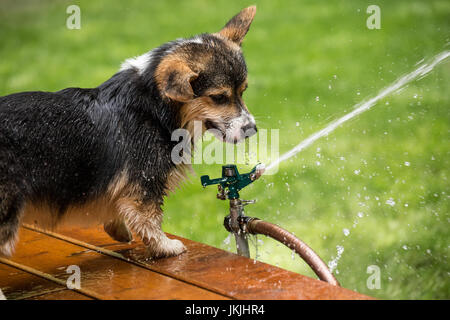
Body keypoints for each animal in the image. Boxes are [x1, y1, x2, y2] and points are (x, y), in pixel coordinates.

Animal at [0, 5, 258, 258]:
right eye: (219, 97)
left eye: (243, 91)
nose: (252, 130)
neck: (154, 106)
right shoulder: (144, 183)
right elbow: (149, 218)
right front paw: (165, 246)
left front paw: (118, 230)